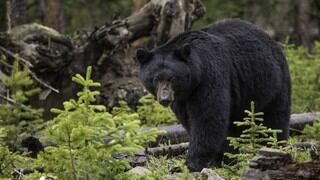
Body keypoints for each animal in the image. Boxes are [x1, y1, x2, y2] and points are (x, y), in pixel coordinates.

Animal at [136, 18, 292, 172]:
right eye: (156, 78)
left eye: (172, 78)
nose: (165, 98)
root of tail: (272, 41)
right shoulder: (182, 99)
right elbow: (189, 120)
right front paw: (217, 159)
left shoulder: (210, 77)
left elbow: (208, 118)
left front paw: (189, 165)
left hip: (272, 83)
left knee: (274, 119)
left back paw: (274, 146)